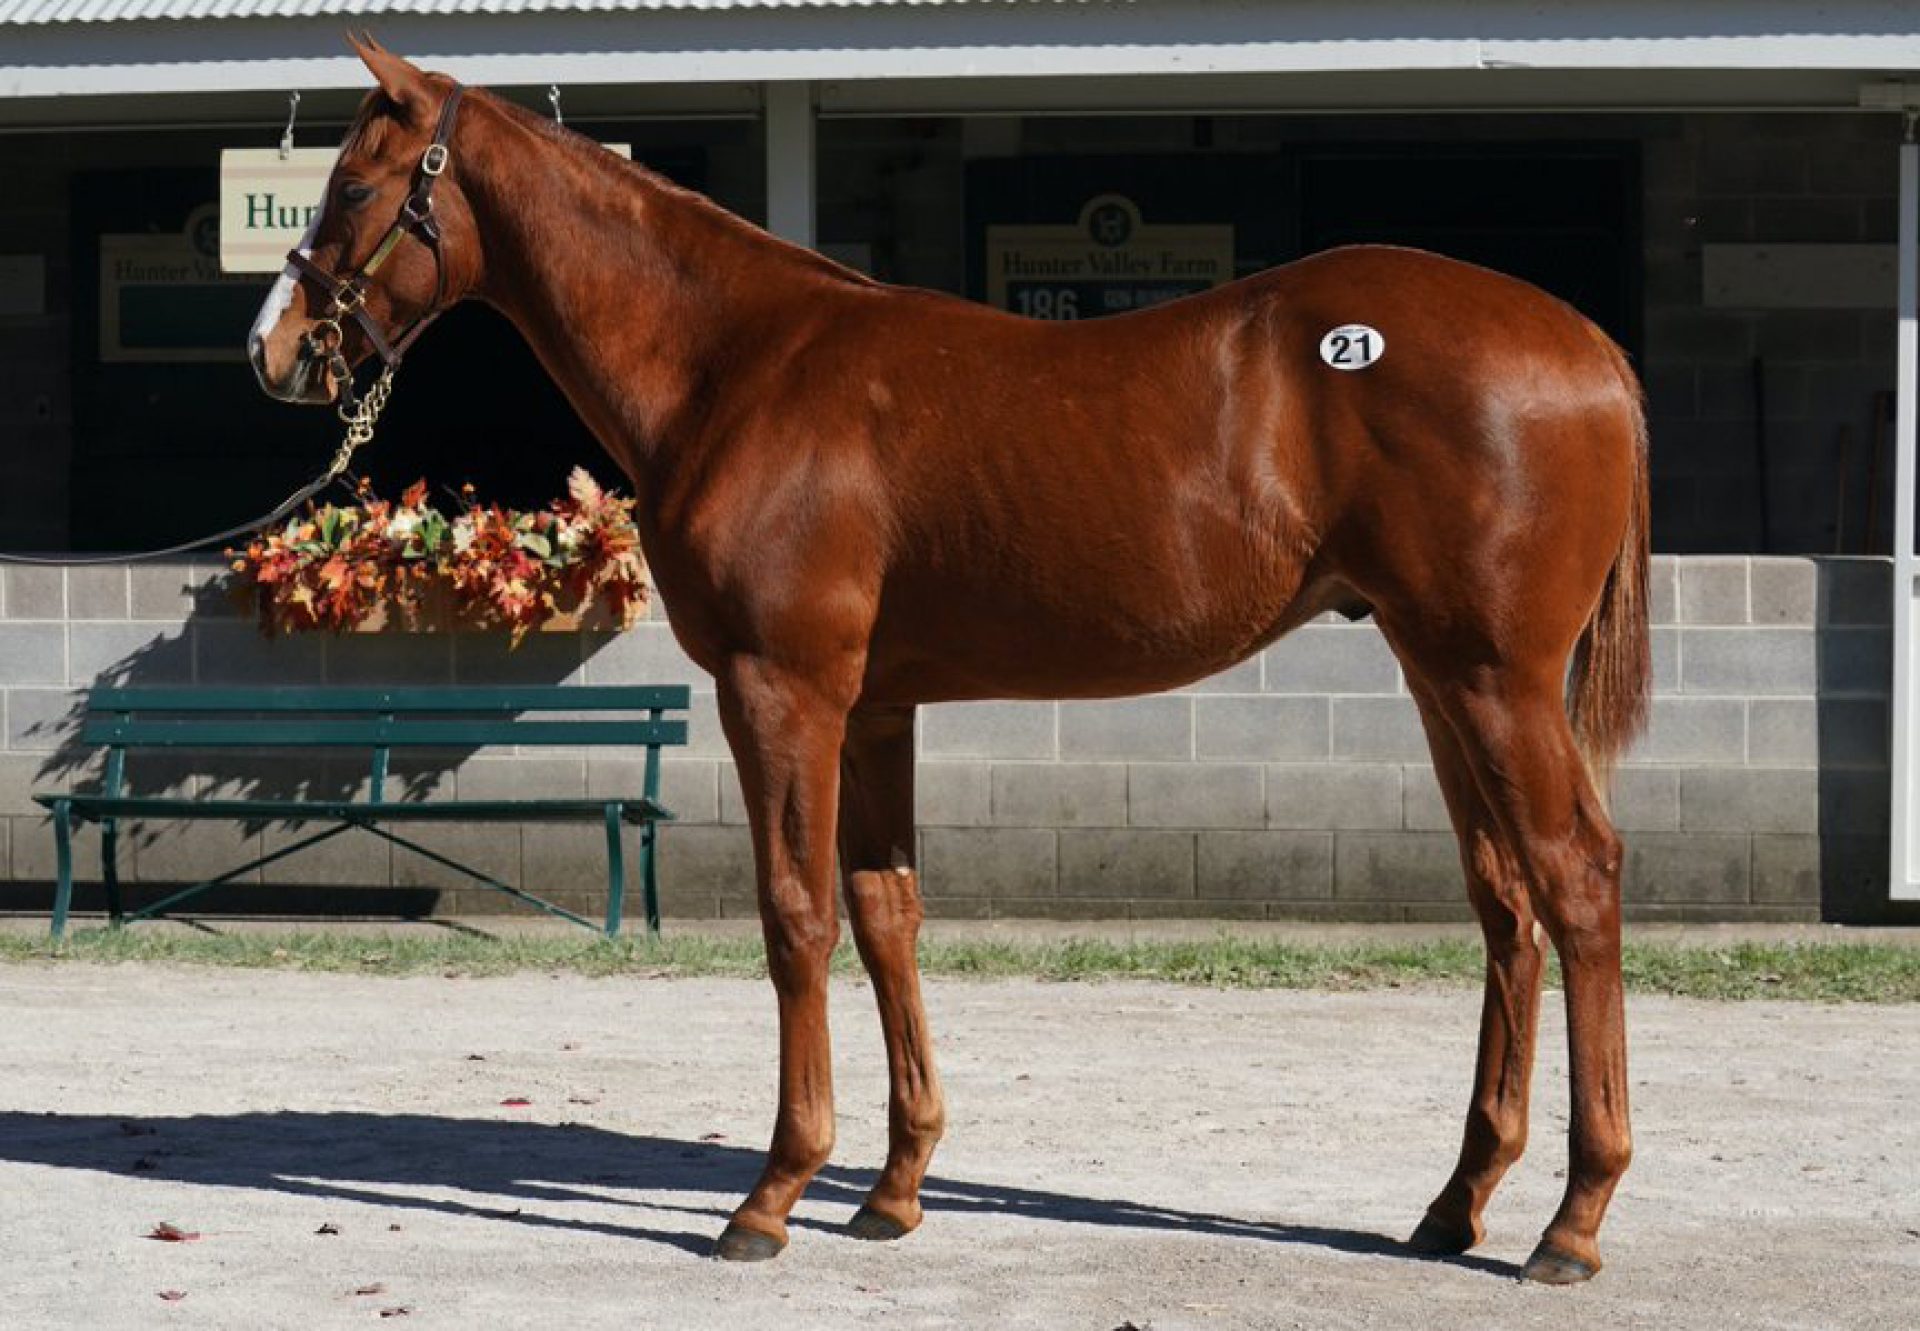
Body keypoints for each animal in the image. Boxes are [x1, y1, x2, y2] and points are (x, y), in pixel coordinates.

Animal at [243, 44, 1651, 1290]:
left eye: (354, 186)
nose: (274, 345)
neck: (735, 365)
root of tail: (1589, 344)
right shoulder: (876, 709)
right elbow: (886, 915)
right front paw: (893, 1187)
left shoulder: (781, 690)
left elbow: (797, 918)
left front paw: (771, 1195)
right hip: (1437, 677)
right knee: (1505, 903)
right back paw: (1458, 1202)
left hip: (1495, 679)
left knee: (1576, 878)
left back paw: (1574, 1222)